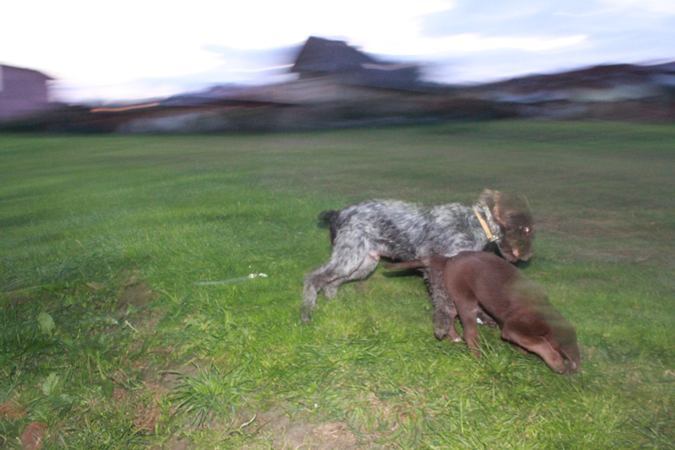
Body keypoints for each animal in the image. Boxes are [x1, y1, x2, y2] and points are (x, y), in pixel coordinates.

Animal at [301, 189, 535, 326]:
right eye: (526, 228)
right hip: (350, 257)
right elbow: (445, 301)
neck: (476, 223)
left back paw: (333, 302)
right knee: (313, 278)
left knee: (331, 282)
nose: (529, 256)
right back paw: (306, 314)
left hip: (362, 263)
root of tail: (338, 213)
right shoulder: (438, 269)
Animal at [387, 252, 580, 374]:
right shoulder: (513, 329)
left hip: (457, 296)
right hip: (466, 300)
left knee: (450, 315)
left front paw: (522, 350)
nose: (576, 368)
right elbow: (540, 343)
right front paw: (557, 363)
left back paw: (453, 337)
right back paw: (477, 356)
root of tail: (449, 258)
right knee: (469, 333)